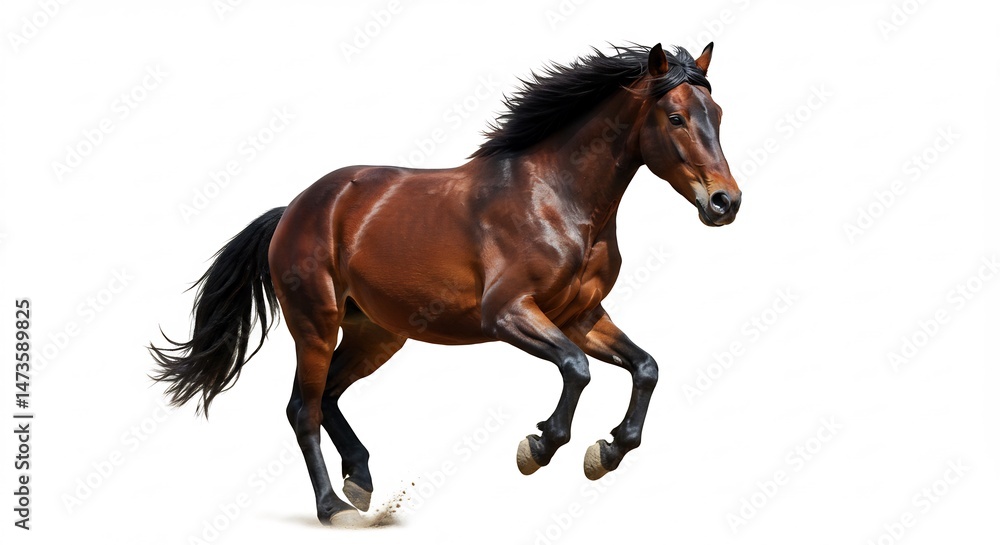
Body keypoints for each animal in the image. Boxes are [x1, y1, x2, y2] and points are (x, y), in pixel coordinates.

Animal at [151, 42, 741, 525]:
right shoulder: (508, 313)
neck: (559, 199)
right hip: (315, 325)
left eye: (716, 114)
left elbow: (645, 367)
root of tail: (295, 208)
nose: (725, 202)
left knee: (331, 396)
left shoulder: (581, 316)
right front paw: (539, 447)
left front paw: (608, 450)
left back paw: (360, 481)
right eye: (675, 117)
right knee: (304, 408)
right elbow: (577, 369)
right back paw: (334, 507)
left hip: (376, 334)